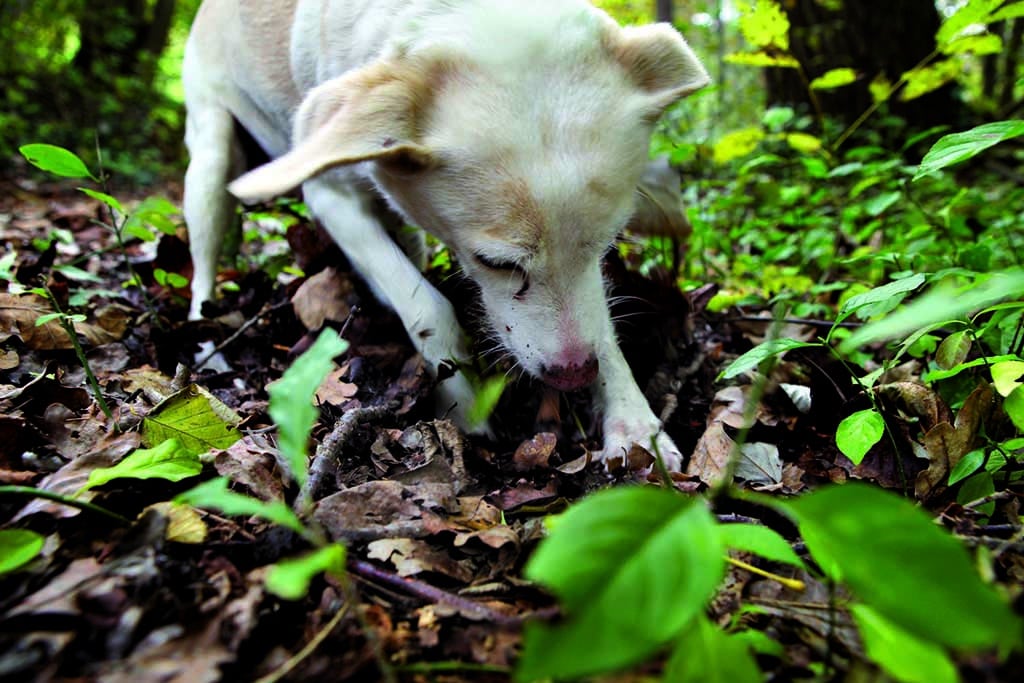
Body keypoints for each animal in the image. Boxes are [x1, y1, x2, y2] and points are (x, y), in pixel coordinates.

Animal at [182, 0, 704, 471]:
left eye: (608, 244)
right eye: (496, 264)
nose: (574, 374)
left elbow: (602, 324)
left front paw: (633, 421)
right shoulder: (329, 195)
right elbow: (425, 307)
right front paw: (462, 404)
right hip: (211, 159)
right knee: (203, 264)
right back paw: (206, 347)